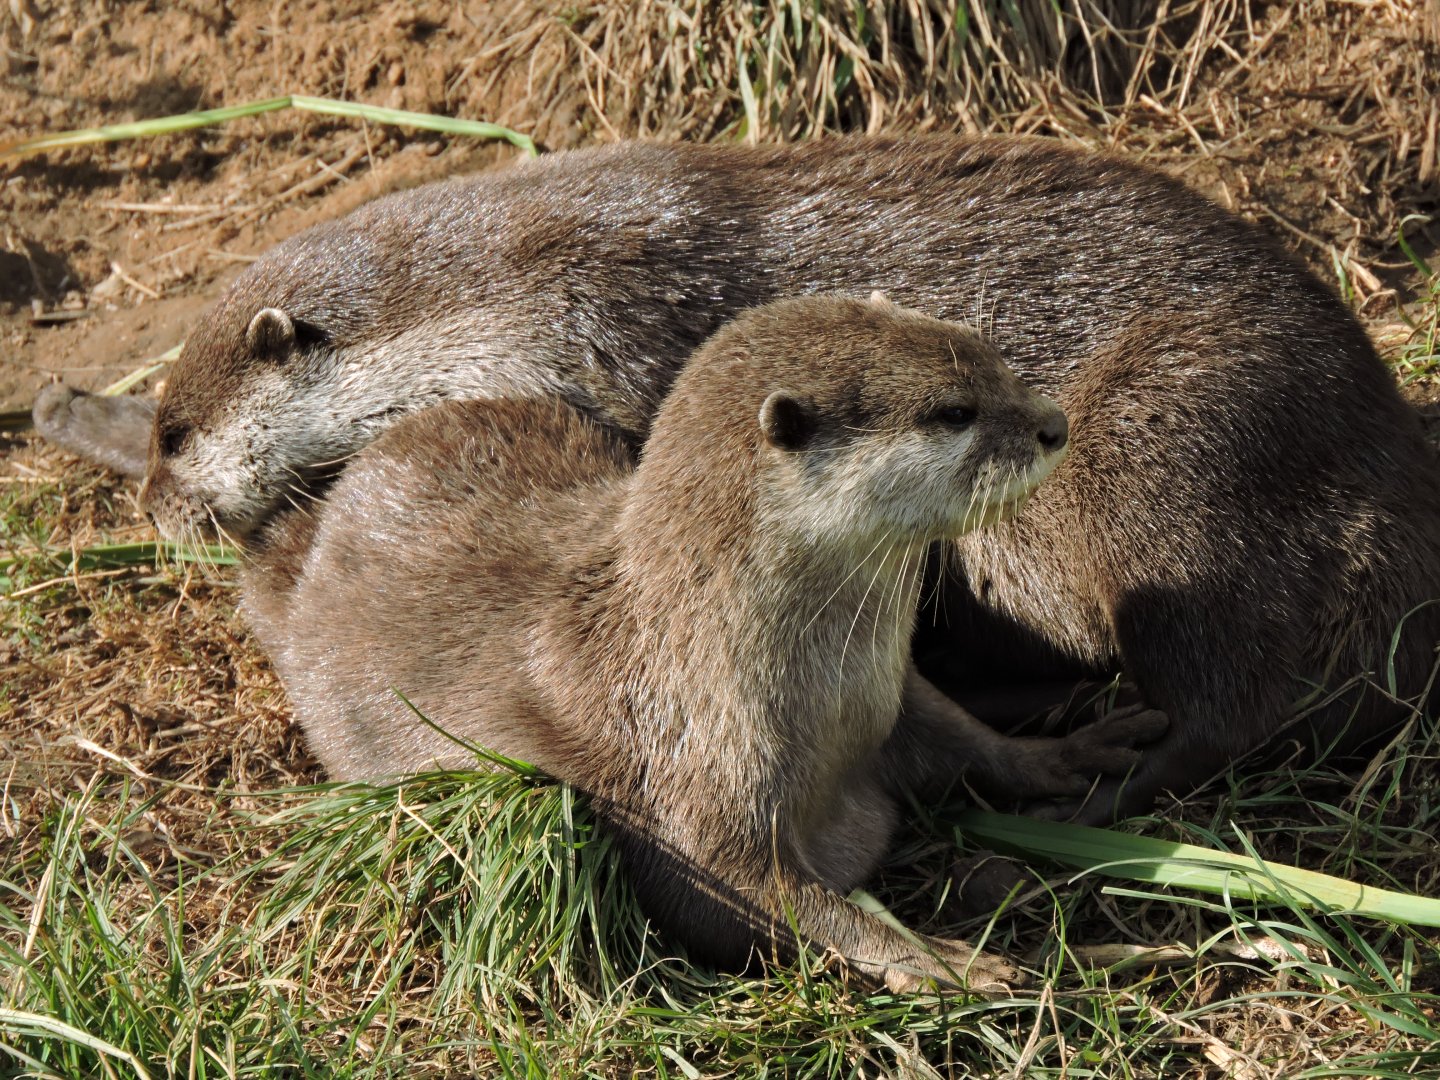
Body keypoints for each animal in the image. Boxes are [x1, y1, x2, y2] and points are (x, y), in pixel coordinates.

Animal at [36, 136, 1440, 821]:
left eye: (176, 434)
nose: (153, 506)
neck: (500, 306)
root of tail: (1394, 473)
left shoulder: (605, 355)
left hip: (1166, 444)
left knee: (1232, 690)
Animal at [237, 295, 1165, 991]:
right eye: (954, 412)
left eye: (988, 355)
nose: (1053, 423)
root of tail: (303, 551)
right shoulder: (691, 800)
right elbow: (756, 901)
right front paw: (942, 960)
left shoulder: (894, 697)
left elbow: (971, 743)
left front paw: (1078, 749)